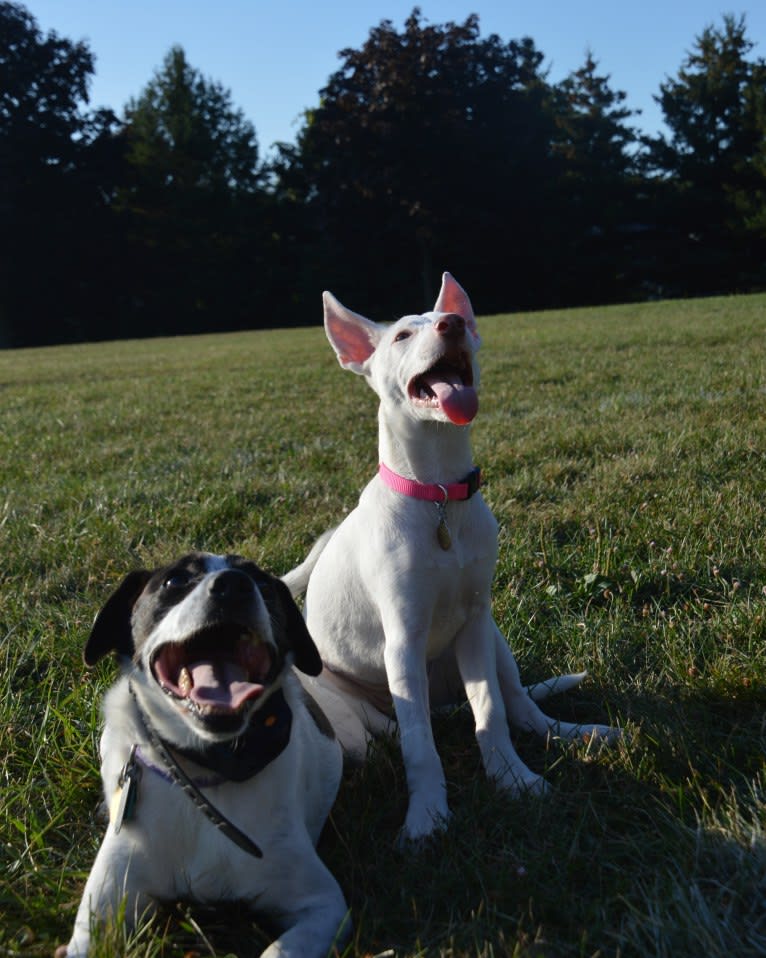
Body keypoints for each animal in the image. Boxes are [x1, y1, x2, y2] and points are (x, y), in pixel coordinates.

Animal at [58, 556, 350, 958]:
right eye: (175, 580)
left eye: (263, 584)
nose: (234, 585)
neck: (203, 773)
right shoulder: (101, 915)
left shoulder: (323, 905)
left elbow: (278, 950)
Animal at [284, 270, 620, 840]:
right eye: (401, 335)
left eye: (457, 320)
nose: (453, 324)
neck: (438, 493)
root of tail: (444, 704)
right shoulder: (402, 639)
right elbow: (421, 745)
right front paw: (427, 816)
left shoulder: (475, 621)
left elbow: (492, 711)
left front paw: (513, 779)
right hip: (355, 712)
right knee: (398, 733)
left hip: (496, 639)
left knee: (523, 705)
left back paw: (579, 732)